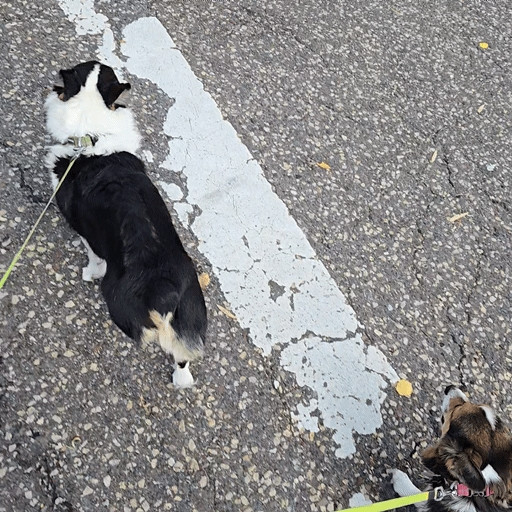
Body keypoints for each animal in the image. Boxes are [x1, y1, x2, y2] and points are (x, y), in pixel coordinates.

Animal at [45, 62, 207, 386]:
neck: (89, 136)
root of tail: (164, 288)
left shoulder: (86, 233)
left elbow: (94, 258)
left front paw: (89, 273)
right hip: (193, 313)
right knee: (182, 357)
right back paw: (182, 380)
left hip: (118, 304)